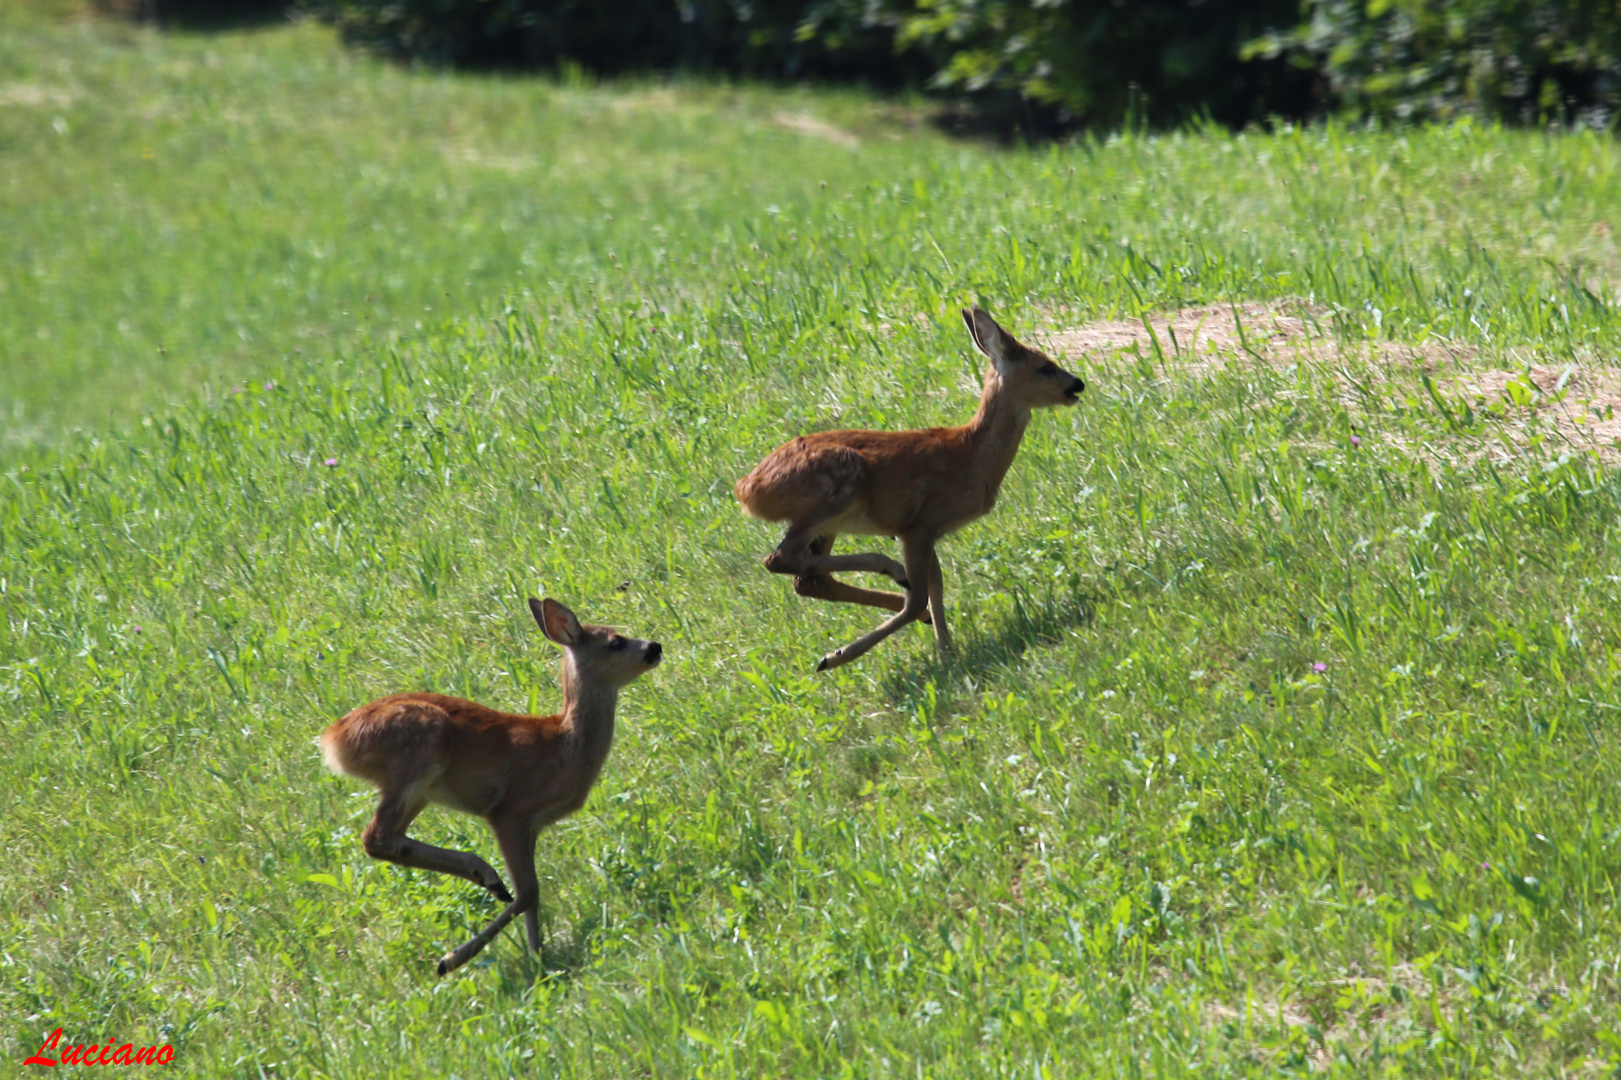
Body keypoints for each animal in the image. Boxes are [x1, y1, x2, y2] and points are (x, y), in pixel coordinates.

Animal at [319, 593, 661, 972]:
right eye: (616, 642)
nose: (655, 646)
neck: (563, 746)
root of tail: (334, 739)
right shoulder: (511, 810)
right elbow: (528, 892)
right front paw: (453, 958)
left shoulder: (533, 824)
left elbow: (533, 894)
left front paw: (539, 958)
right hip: (420, 745)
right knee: (375, 835)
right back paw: (486, 878)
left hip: (419, 787)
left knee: (390, 838)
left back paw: (487, 879)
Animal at [739, 303, 1089, 668]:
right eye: (1044, 367)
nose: (1077, 383)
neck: (970, 455)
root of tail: (747, 490)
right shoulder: (917, 525)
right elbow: (922, 596)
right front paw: (835, 656)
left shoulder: (931, 531)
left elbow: (936, 588)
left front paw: (947, 653)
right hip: (835, 489)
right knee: (780, 559)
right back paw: (887, 574)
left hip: (828, 521)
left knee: (808, 579)